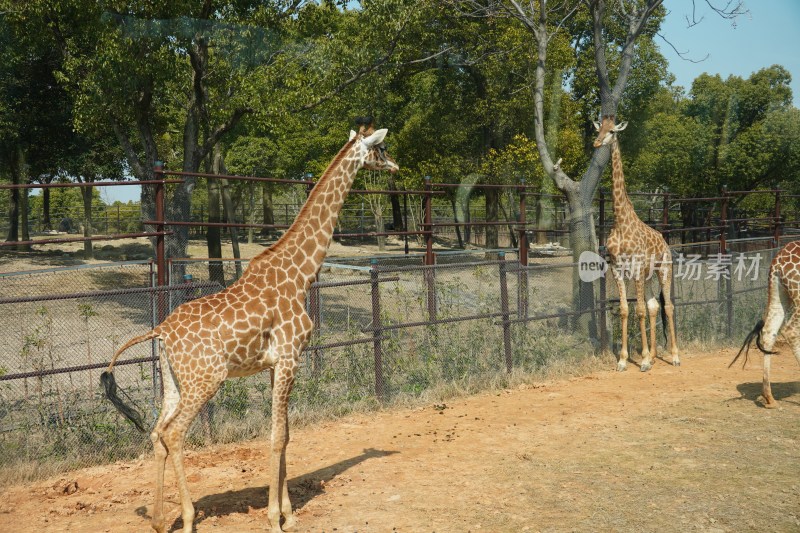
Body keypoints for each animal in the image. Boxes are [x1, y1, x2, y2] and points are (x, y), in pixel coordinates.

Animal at [100, 118, 400, 532]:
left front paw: (290, 512)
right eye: (381, 149)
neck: (301, 273)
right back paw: (188, 518)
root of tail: (159, 332)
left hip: (175, 382)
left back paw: (160, 520)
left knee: (157, 432)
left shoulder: (277, 364)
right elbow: (275, 436)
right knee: (174, 434)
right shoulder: (290, 357)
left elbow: (286, 433)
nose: (397, 166)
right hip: (206, 380)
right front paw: (274, 518)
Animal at [592, 116, 680, 372]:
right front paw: (623, 360)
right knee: (654, 306)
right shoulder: (617, 268)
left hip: (663, 269)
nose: (596, 142)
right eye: (598, 128)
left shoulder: (637, 268)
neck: (621, 221)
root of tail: (664, 242)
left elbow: (638, 310)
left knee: (667, 306)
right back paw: (655, 354)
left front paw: (644, 359)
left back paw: (674, 356)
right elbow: (625, 309)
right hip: (649, 276)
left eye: (612, 131)